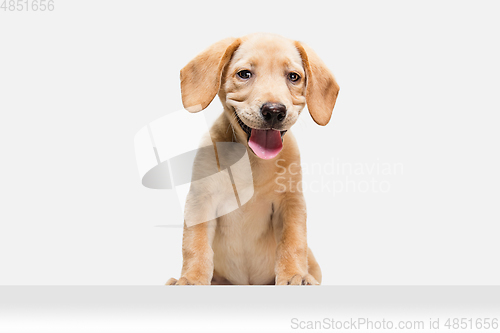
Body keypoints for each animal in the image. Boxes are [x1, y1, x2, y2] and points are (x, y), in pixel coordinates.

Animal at [166, 32, 338, 284]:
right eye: (244, 74)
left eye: (293, 77)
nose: (274, 111)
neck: (252, 161)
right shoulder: (201, 201)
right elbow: (195, 245)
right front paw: (192, 278)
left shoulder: (291, 203)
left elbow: (292, 242)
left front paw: (294, 275)